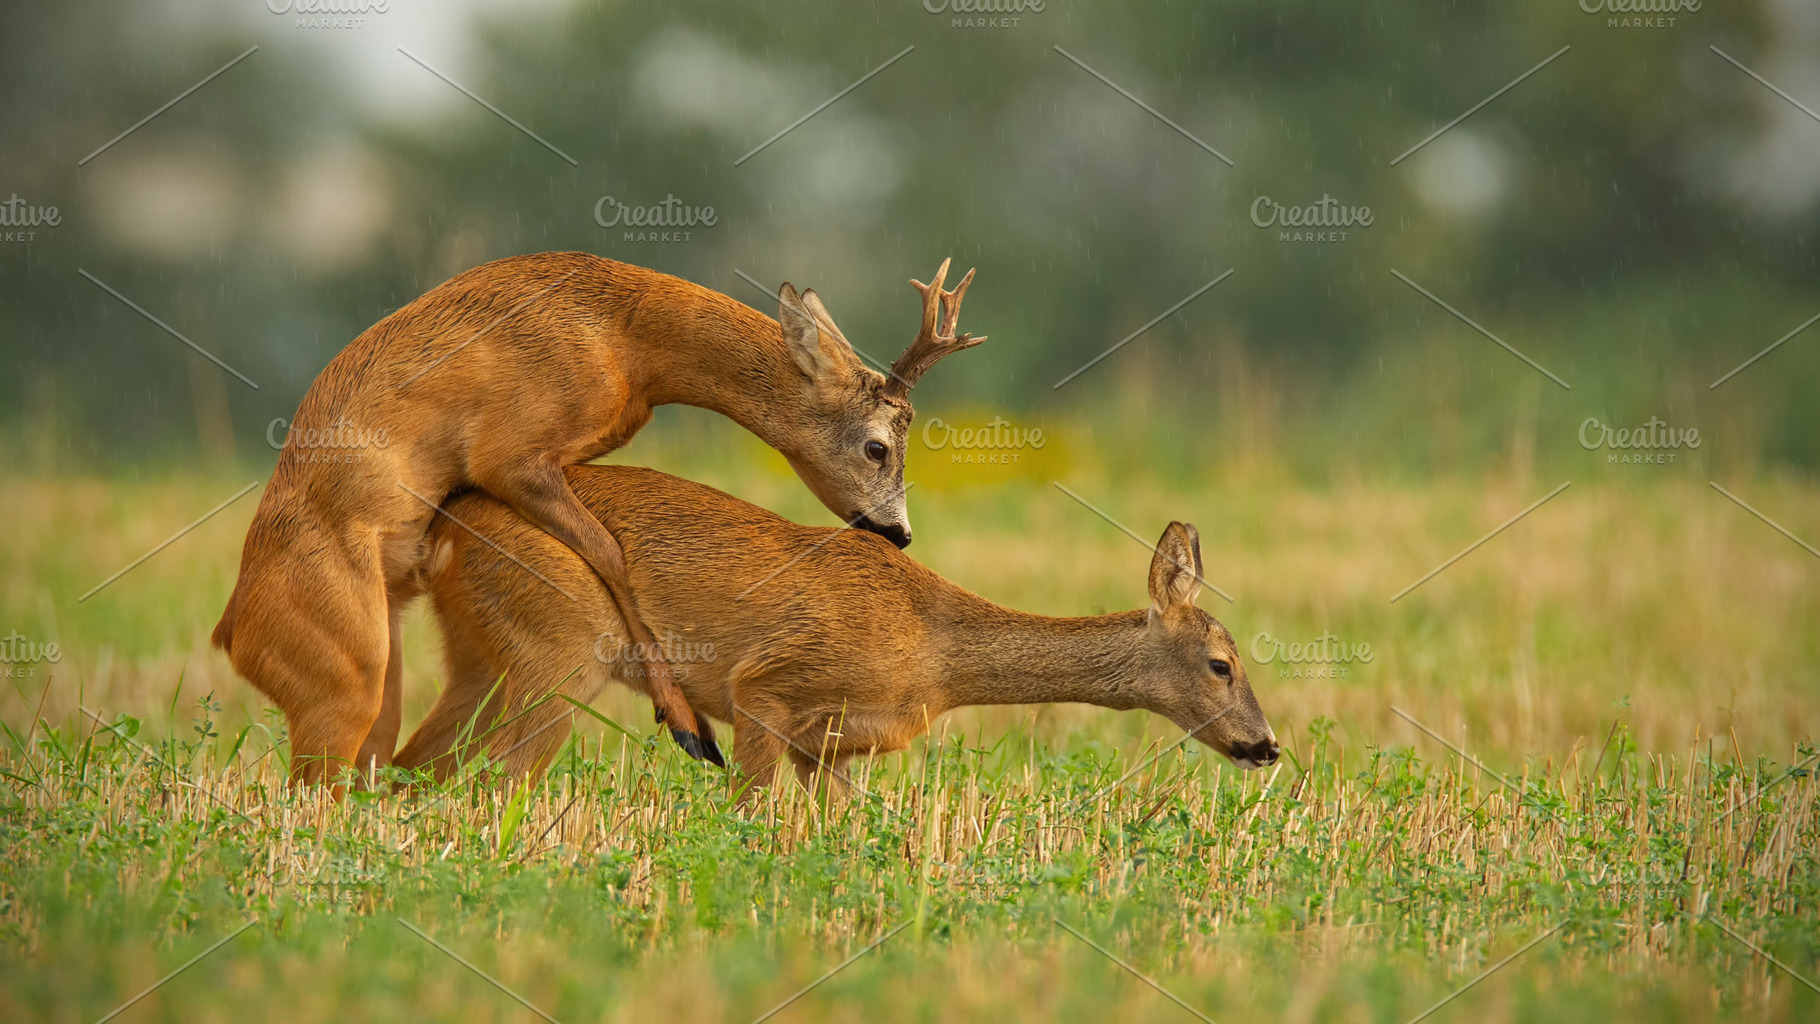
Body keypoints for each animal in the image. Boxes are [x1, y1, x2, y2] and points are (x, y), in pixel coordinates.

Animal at [209, 252, 982, 782]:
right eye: (878, 445)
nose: (898, 533)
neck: (624, 337)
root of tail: (229, 632)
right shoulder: (510, 457)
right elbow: (610, 552)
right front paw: (689, 726)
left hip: (387, 675)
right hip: (345, 679)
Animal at [398, 465, 1281, 793]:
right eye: (1221, 664)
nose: (1267, 744)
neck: (935, 653)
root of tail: (445, 527)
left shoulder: (827, 745)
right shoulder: (762, 688)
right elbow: (754, 817)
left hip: (482, 657)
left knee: (410, 768)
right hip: (556, 652)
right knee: (489, 779)